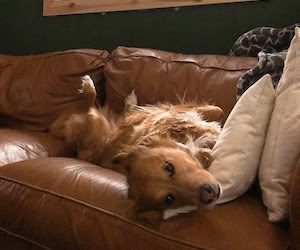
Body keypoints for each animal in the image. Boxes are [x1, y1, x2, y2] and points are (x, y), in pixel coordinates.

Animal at [49, 75, 223, 221]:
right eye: (169, 199)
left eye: (169, 167)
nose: (209, 194)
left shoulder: (176, 113)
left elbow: (218, 111)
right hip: (96, 129)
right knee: (90, 108)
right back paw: (88, 86)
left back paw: (129, 102)